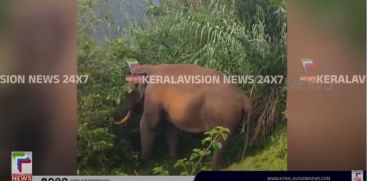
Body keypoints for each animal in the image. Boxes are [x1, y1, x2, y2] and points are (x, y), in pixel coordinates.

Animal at [115, 63, 253, 170]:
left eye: (128, 92)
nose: (114, 117)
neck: (150, 68)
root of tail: (245, 98)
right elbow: (171, 129)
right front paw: (173, 160)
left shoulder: (153, 95)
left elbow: (148, 124)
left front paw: (144, 164)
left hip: (223, 117)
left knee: (219, 140)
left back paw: (213, 167)